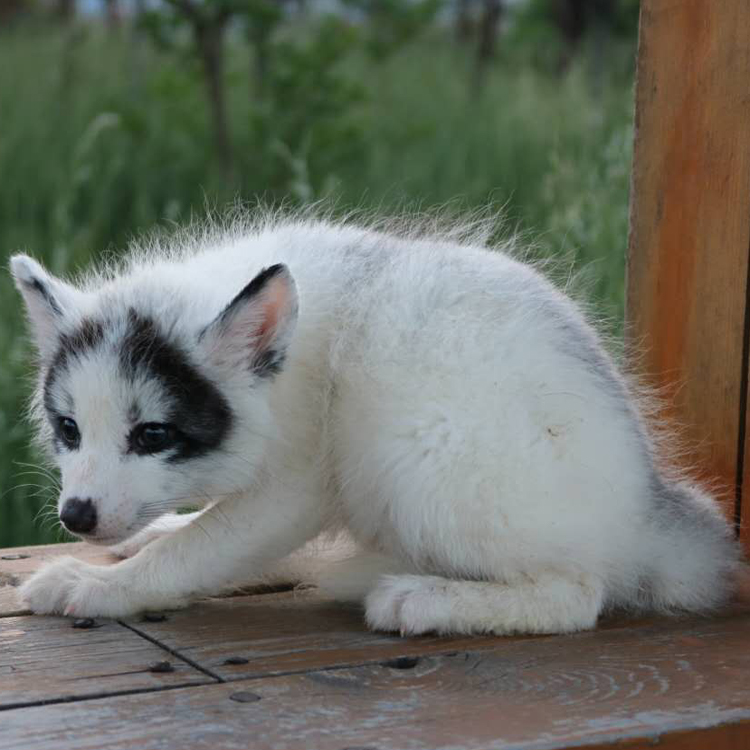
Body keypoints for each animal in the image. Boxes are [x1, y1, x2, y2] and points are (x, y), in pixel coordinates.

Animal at [7, 214, 748, 636]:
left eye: (153, 435)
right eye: (69, 429)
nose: (75, 515)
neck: (291, 362)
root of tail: (646, 515)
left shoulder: (301, 481)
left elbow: (196, 552)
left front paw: (96, 588)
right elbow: (206, 529)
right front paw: (163, 529)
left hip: (411, 453)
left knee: (581, 596)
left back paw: (426, 600)